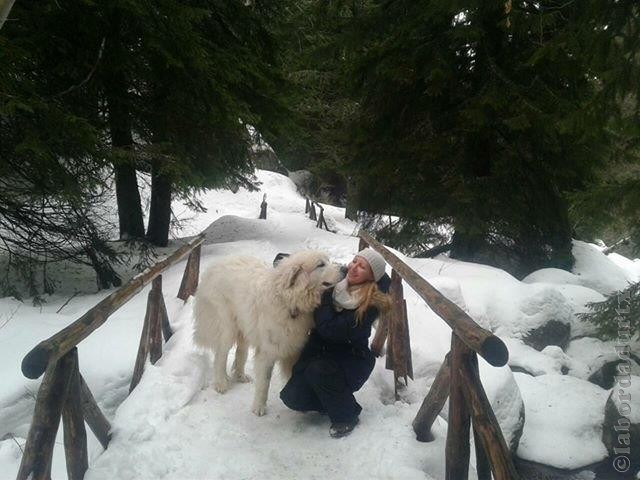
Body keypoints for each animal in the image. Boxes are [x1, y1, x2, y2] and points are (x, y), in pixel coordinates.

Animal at [192, 251, 344, 416]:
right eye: (320, 264)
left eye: (328, 260)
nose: (345, 268)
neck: (289, 301)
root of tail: (215, 265)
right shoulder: (267, 353)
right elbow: (264, 383)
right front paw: (259, 407)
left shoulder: (294, 349)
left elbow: (292, 374)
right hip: (227, 327)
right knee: (220, 355)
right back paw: (221, 383)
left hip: (245, 324)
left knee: (241, 351)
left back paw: (240, 376)